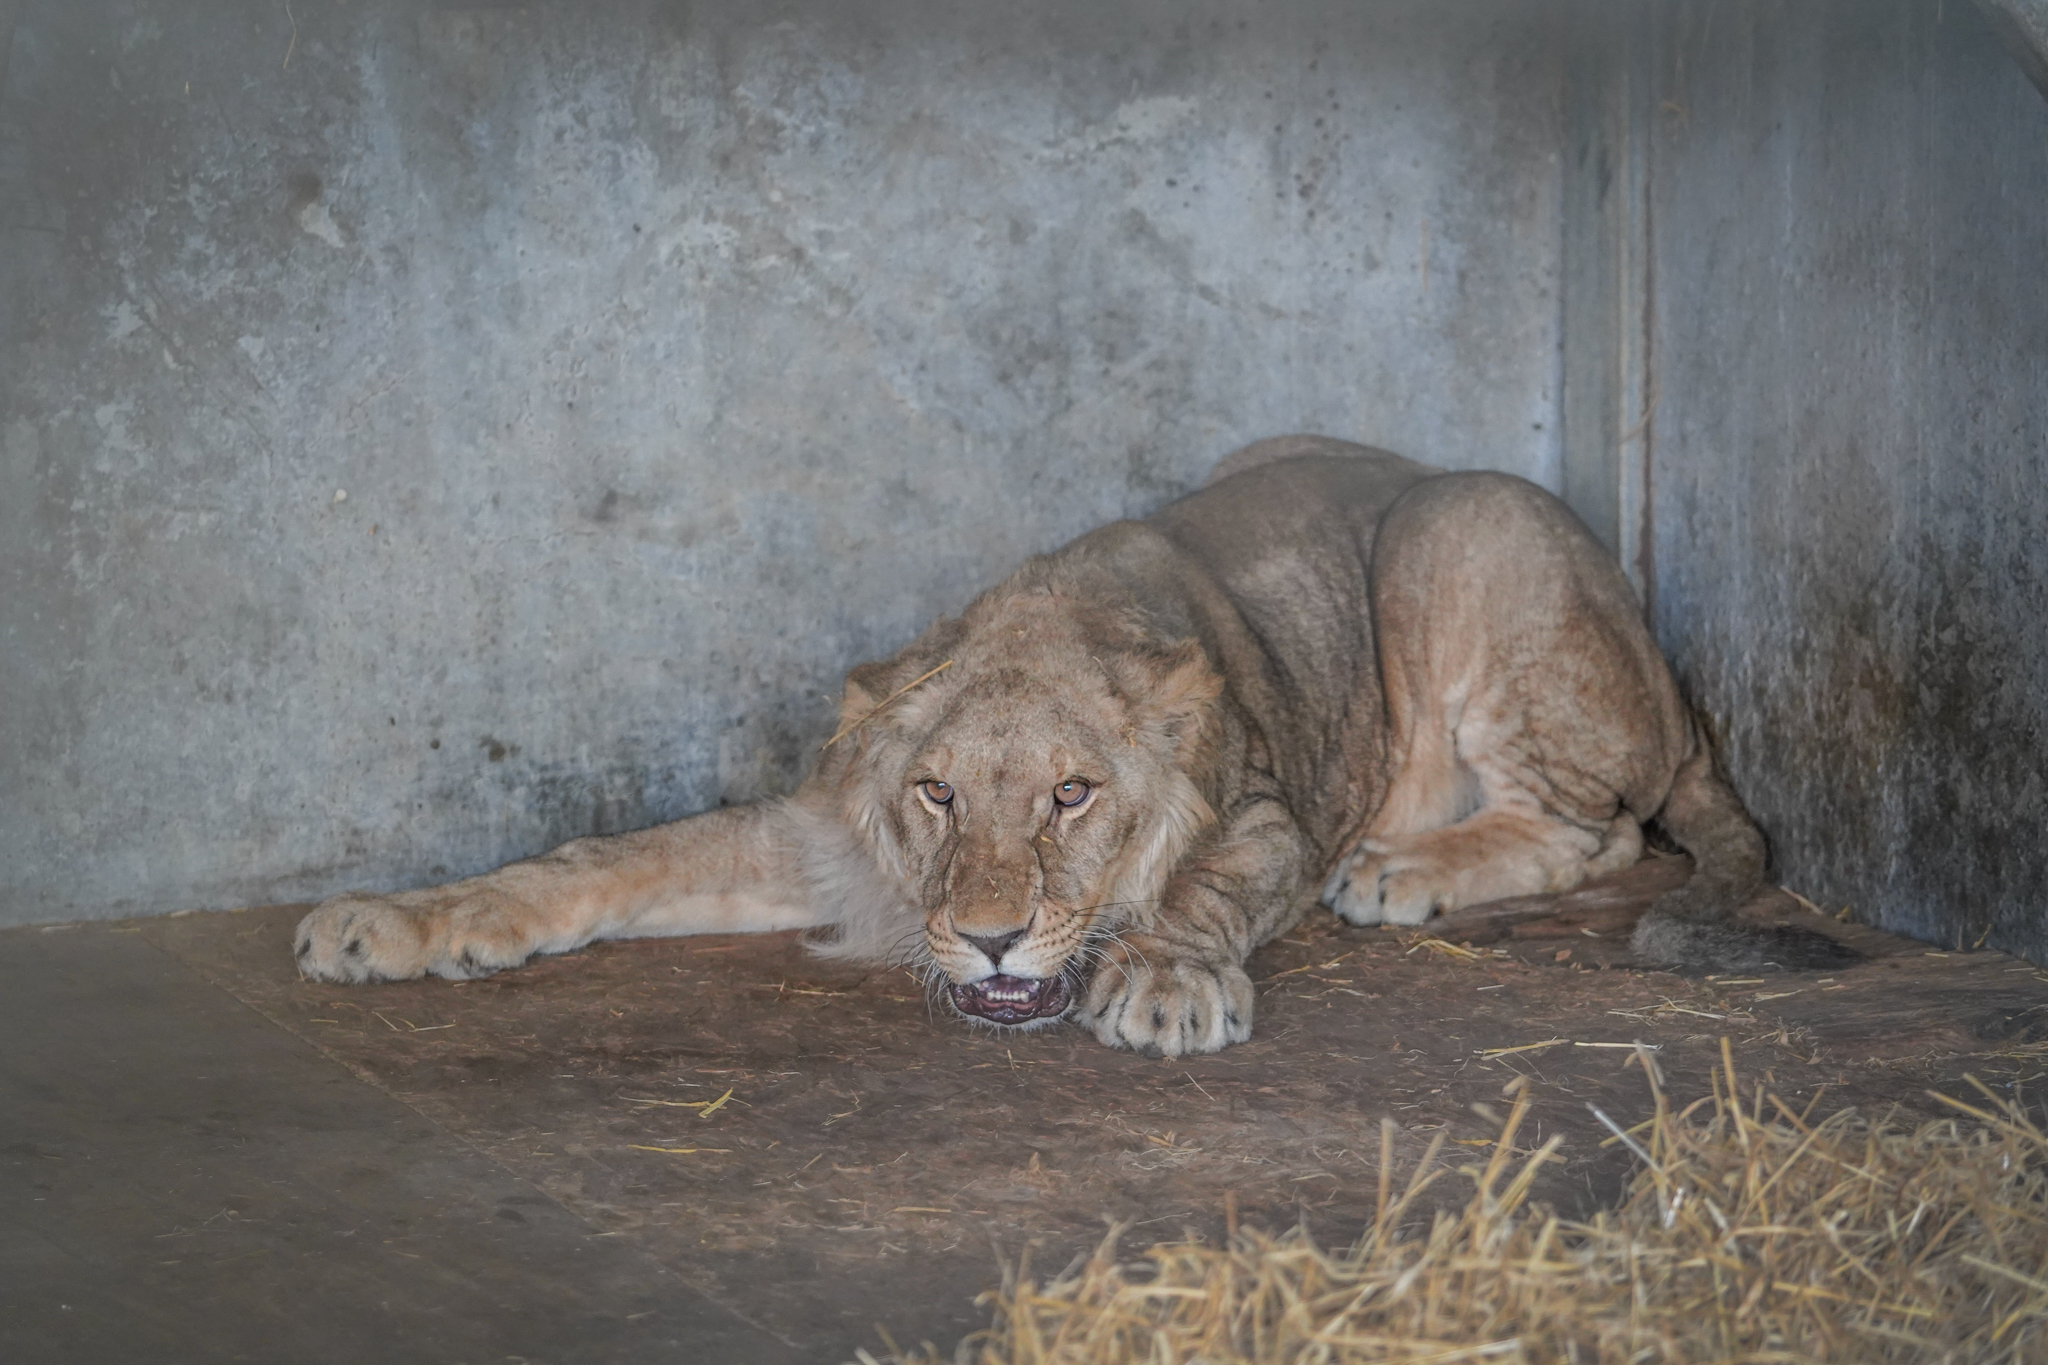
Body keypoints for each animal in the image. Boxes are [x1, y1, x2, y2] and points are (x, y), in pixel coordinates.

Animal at [295, 436, 1850, 1056]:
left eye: (1073, 795)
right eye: (934, 793)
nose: (988, 940)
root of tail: (1668, 672)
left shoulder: (1265, 818)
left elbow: (1199, 890)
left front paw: (1160, 982)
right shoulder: (821, 837)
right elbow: (608, 858)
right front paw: (398, 920)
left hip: (1462, 526)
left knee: (1604, 826)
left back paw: (1403, 869)